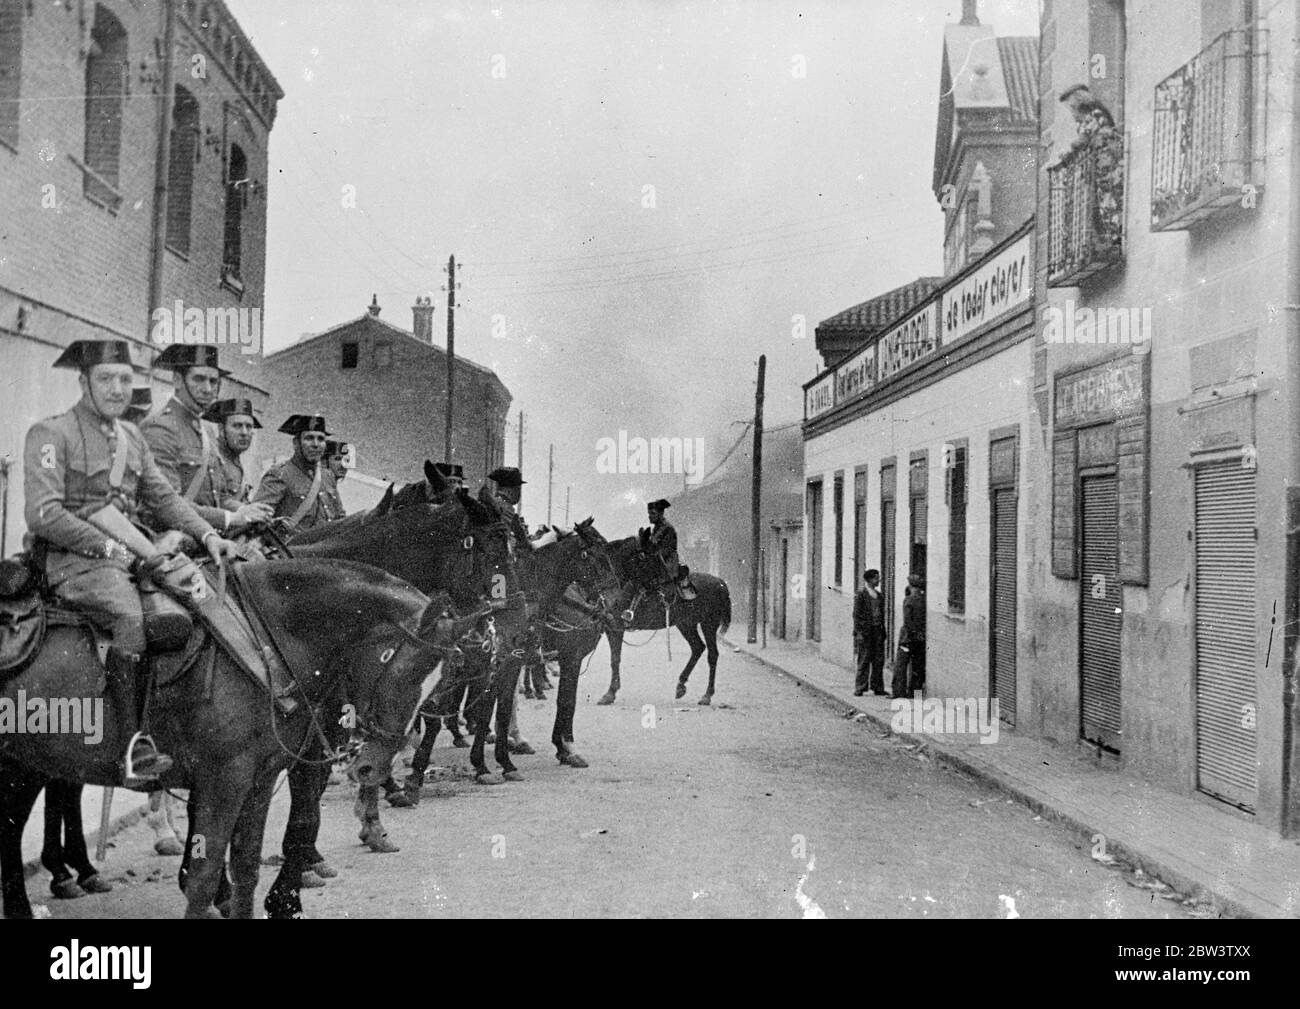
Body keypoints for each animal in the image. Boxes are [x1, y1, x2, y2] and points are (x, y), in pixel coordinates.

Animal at [0, 559, 457, 920]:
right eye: (401, 666)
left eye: (437, 680)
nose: (373, 766)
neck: (261, 644)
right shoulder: (224, 783)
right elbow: (204, 878)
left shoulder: (257, 782)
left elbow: (248, 869)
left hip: (23, 764)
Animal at [595, 540, 733, 707]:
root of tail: (720, 582)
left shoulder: (614, 628)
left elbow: (615, 659)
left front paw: (609, 693)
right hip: (686, 624)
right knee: (698, 647)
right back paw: (681, 685)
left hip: (709, 624)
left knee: (712, 655)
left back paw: (707, 695)